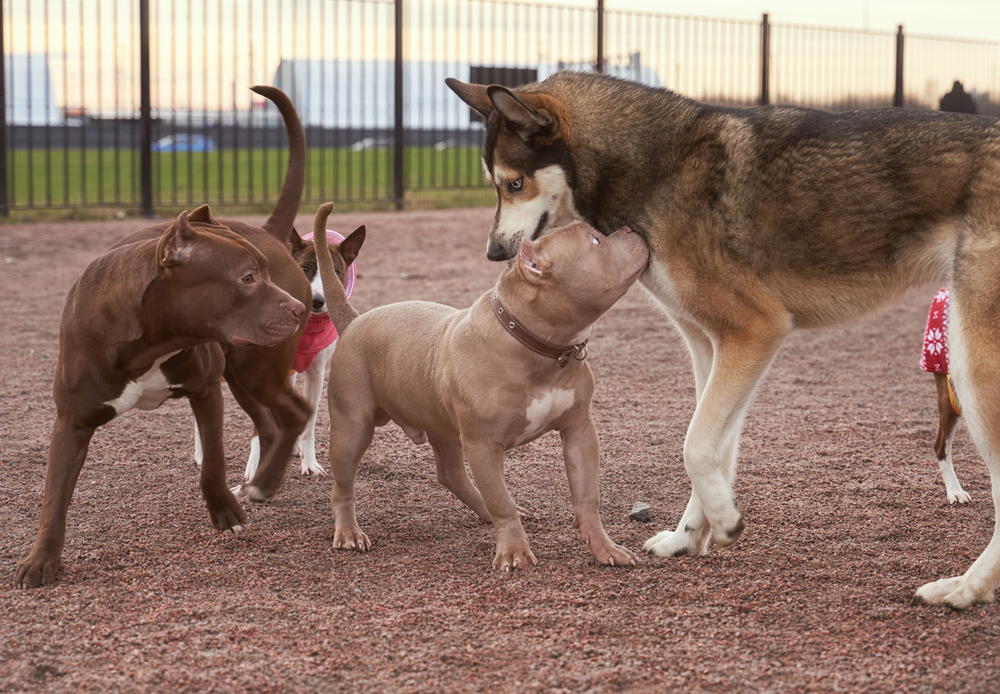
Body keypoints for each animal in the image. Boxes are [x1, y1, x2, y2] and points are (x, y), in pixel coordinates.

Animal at [14, 84, 312, 588]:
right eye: (248, 277)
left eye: (263, 274)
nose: (296, 308)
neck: (147, 340)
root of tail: (269, 230)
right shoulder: (71, 421)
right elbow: (54, 497)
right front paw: (41, 561)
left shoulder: (206, 391)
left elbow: (211, 464)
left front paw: (224, 513)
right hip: (243, 373)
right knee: (272, 424)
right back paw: (262, 482)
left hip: (257, 368)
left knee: (296, 413)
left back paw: (263, 485)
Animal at [310, 204, 648, 572]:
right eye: (595, 240)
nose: (630, 228)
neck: (535, 343)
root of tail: (355, 320)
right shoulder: (484, 445)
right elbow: (502, 501)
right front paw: (513, 550)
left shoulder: (580, 431)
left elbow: (587, 496)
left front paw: (604, 547)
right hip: (352, 428)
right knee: (342, 487)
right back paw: (348, 532)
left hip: (440, 426)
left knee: (451, 475)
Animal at [450, 73, 1000, 612]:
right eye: (496, 185)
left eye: (514, 183)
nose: (494, 251)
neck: (656, 169)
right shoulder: (712, 347)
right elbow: (713, 447)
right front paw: (690, 535)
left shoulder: (753, 331)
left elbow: (695, 445)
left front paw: (724, 519)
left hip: (970, 373)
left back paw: (965, 589)